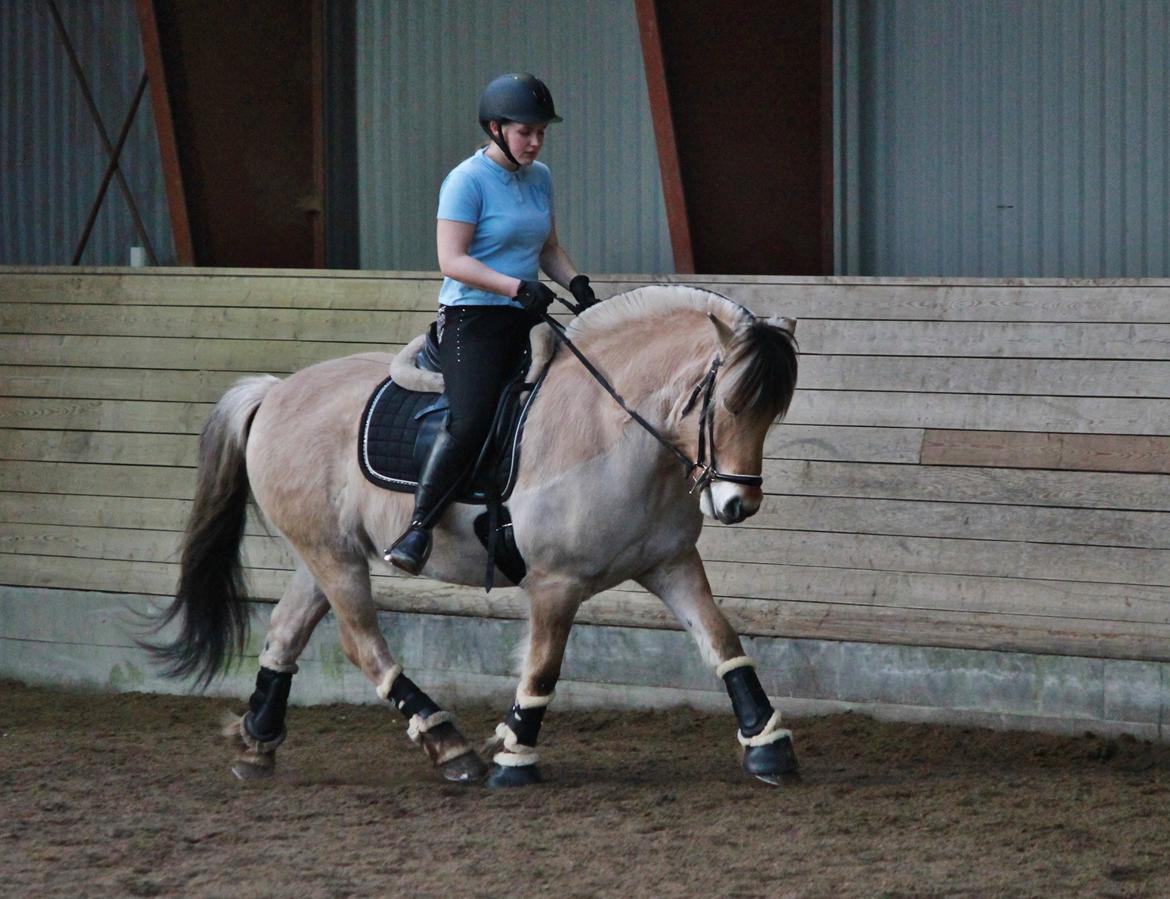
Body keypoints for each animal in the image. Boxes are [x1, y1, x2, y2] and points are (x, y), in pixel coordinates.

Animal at [150, 284, 800, 781]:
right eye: (730, 403)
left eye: (772, 413)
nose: (738, 503)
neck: (612, 429)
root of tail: (273, 391)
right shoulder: (555, 583)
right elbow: (543, 668)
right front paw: (515, 756)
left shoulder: (669, 563)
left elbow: (722, 641)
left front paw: (768, 747)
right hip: (333, 557)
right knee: (362, 645)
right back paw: (448, 747)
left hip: (322, 554)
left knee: (285, 634)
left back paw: (256, 743)